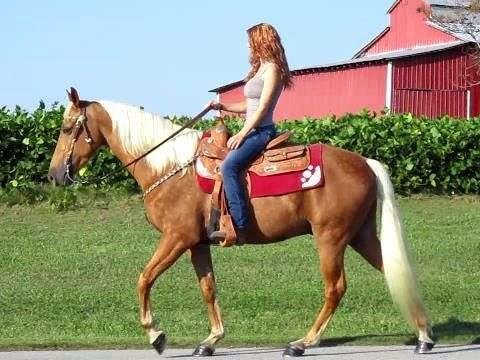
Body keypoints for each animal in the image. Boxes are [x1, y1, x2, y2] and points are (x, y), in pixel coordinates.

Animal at [47, 88, 436, 358]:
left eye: (67, 128)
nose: (55, 175)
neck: (168, 167)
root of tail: (365, 162)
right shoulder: (196, 243)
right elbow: (208, 288)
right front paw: (210, 340)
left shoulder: (176, 238)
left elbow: (143, 279)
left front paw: (156, 335)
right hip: (359, 235)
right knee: (391, 271)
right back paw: (424, 336)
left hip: (331, 237)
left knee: (335, 287)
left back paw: (302, 343)